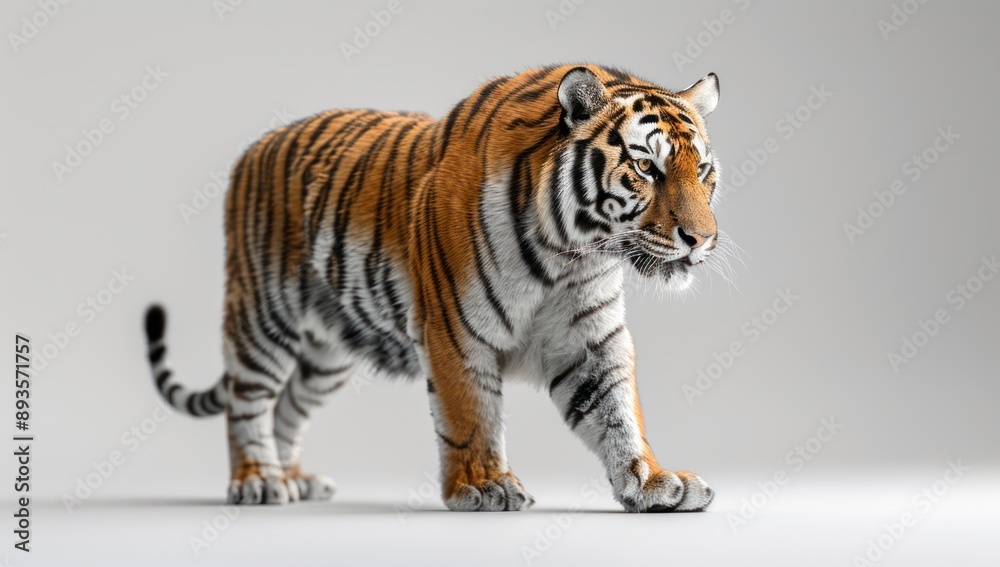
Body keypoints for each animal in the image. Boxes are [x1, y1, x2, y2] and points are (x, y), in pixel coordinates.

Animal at [143, 64, 723, 512]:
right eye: (646, 167)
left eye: (703, 170)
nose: (701, 239)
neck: (570, 255)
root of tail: (256, 147)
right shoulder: (454, 328)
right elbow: (471, 413)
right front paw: (484, 487)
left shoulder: (590, 340)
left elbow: (617, 413)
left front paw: (653, 484)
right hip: (265, 316)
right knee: (247, 401)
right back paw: (258, 480)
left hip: (328, 353)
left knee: (286, 406)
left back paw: (291, 479)